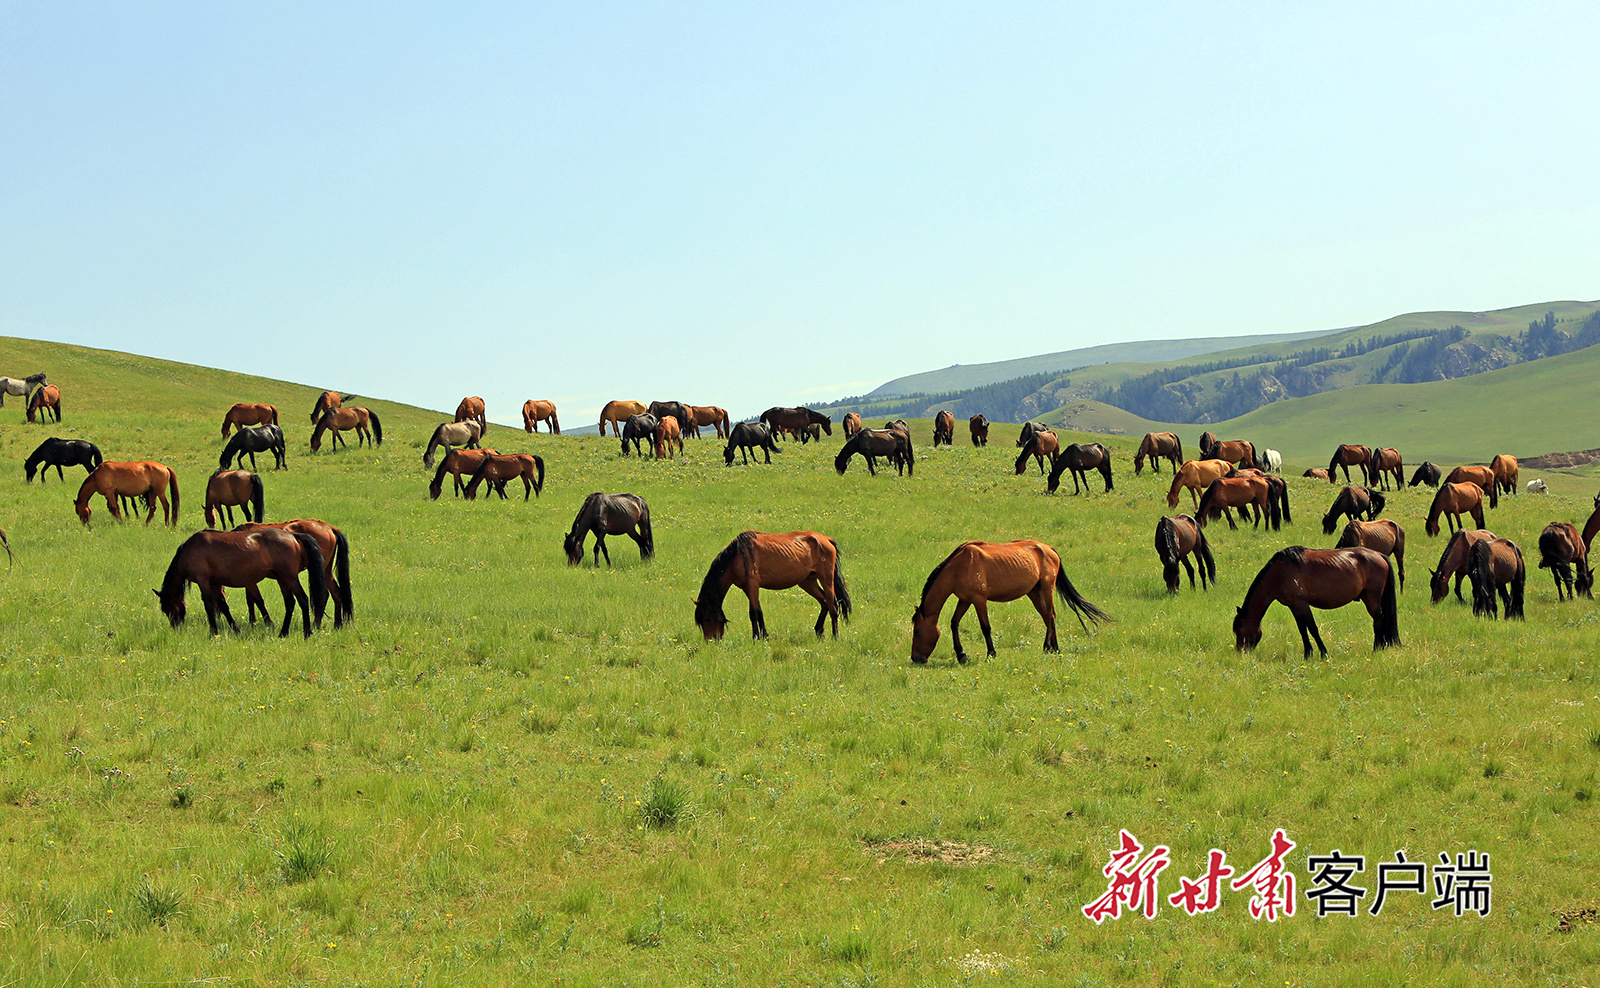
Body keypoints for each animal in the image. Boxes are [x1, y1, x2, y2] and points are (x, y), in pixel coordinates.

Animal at [156, 527, 324, 636]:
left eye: (168, 608)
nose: (176, 627)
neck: (190, 550)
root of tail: (293, 535)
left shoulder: (203, 581)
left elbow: (209, 606)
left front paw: (213, 632)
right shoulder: (215, 583)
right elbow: (223, 606)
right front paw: (235, 629)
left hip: (290, 577)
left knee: (303, 599)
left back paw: (307, 632)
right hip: (282, 579)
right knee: (290, 603)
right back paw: (283, 632)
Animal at [697, 530, 857, 639]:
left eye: (707, 618)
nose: (711, 641)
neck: (737, 555)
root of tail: (827, 539)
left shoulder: (753, 585)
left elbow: (753, 613)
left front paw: (756, 637)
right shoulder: (748, 588)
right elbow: (758, 612)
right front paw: (763, 636)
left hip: (826, 578)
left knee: (832, 606)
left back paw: (835, 636)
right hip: (807, 581)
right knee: (824, 601)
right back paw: (818, 630)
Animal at [908, 537, 1107, 661]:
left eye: (917, 631)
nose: (916, 658)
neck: (959, 567)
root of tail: (1049, 549)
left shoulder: (979, 599)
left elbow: (985, 627)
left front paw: (991, 653)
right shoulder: (965, 599)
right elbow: (954, 623)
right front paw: (961, 655)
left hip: (1047, 589)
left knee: (1050, 616)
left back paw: (1050, 648)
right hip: (1034, 592)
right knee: (1047, 617)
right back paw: (1053, 648)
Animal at [1228, 543, 1395, 658]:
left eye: (1240, 631)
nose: (1240, 652)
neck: (1279, 573)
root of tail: (1379, 555)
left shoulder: (1302, 604)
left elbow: (1312, 628)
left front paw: (1323, 653)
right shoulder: (1294, 606)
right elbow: (1302, 630)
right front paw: (1307, 654)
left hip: (1372, 597)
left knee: (1378, 620)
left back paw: (1376, 649)